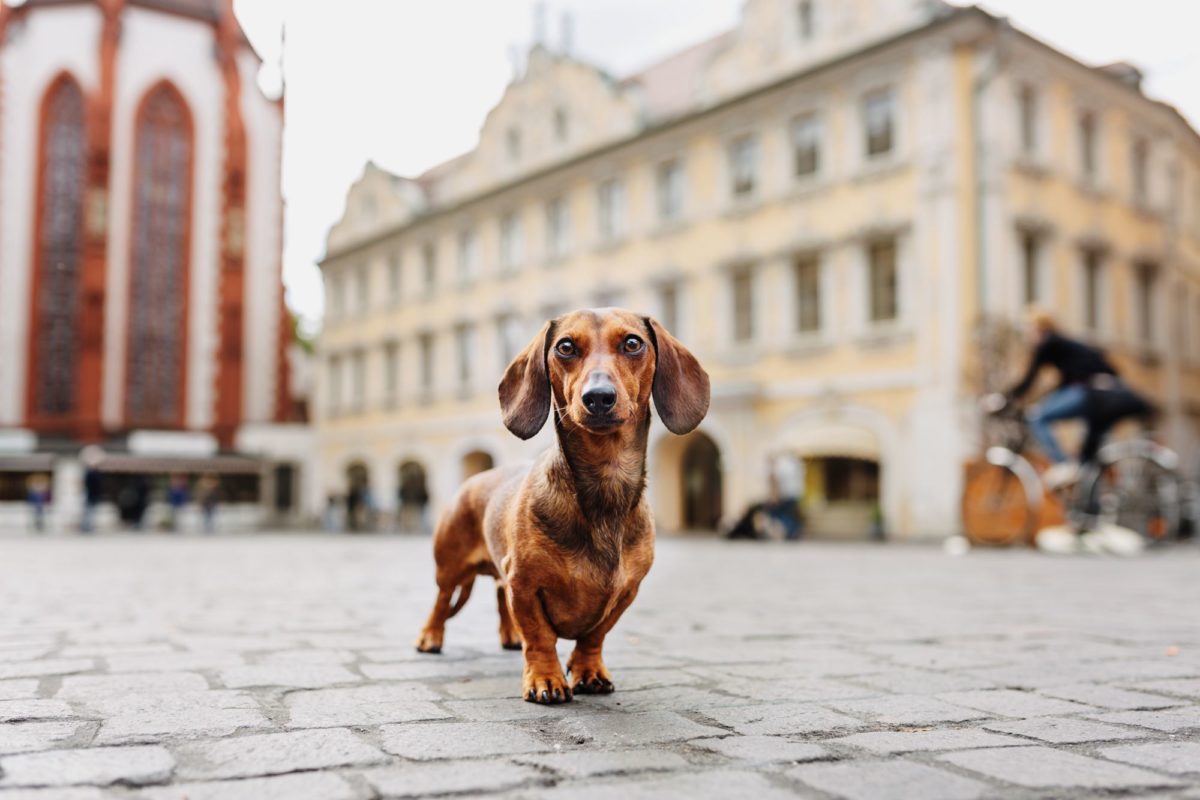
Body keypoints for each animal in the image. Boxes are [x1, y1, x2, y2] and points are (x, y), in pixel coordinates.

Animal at [417, 309, 705, 705]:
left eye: (633, 343)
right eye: (565, 347)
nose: (598, 397)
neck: (604, 485)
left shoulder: (626, 592)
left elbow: (594, 636)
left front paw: (589, 671)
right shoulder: (523, 583)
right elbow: (540, 637)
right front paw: (545, 679)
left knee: (498, 596)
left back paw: (509, 636)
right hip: (449, 566)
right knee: (441, 602)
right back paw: (431, 637)